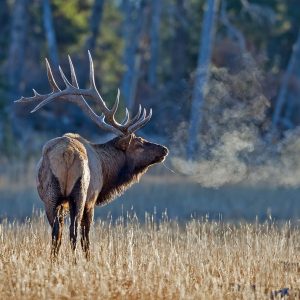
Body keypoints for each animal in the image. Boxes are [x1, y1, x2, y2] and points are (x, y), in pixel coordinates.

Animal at [15, 52, 169, 258]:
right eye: (139, 142)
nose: (164, 149)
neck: (106, 170)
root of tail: (67, 154)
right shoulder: (92, 200)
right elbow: (85, 237)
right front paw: (88, 259)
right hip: (80, 192)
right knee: (73, 232)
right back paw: (75, 260)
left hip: (50, 195)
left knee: (56, 232)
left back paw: (54, 260)